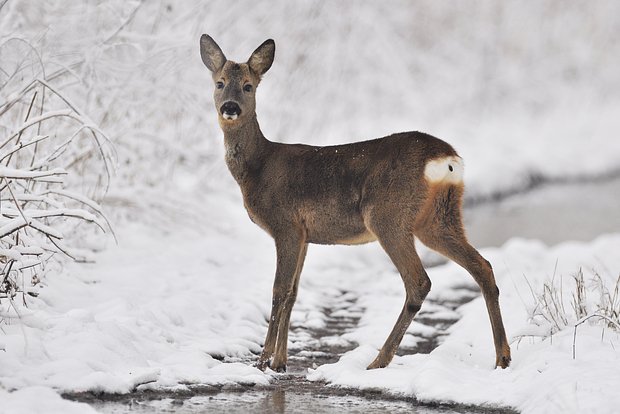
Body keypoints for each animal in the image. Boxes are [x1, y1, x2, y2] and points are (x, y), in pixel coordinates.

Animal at [201, 34, 512, 372]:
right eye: (219, 83)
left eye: (248, 86)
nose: (230, 108)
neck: (258, 167)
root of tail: (447, 159)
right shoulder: (304, 235)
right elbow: (294, 293)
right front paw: (280, 363)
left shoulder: (286, 226)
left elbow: (278, 291)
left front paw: (262, 362)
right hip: (439, 217)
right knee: (483, 267)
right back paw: (502, 357)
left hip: (388, 216)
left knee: (419, 281)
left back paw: (378, 360)